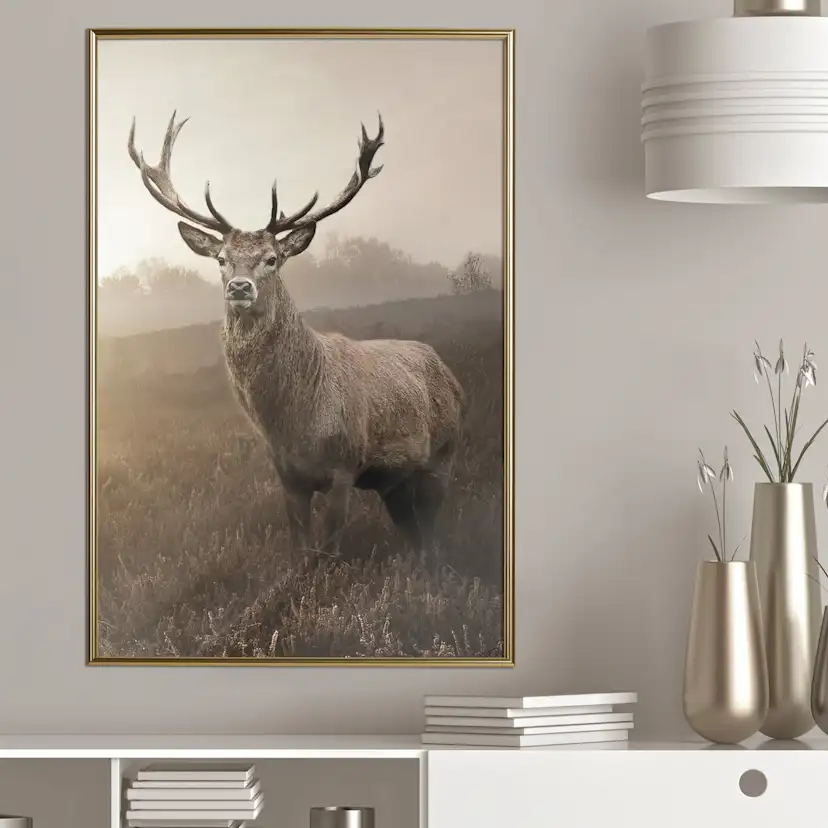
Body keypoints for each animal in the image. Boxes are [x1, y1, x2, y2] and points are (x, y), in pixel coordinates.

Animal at [127, 112, 465, 564]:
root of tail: (449, 373)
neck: (294, 423)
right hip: (395, 480)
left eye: (272, 258)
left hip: (443, 453)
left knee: (430, 531)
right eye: (221, 259)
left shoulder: (344, 465)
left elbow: (330, 550)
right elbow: (301, 550)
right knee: (413, 531)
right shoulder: (287, 477)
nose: (239, 287)